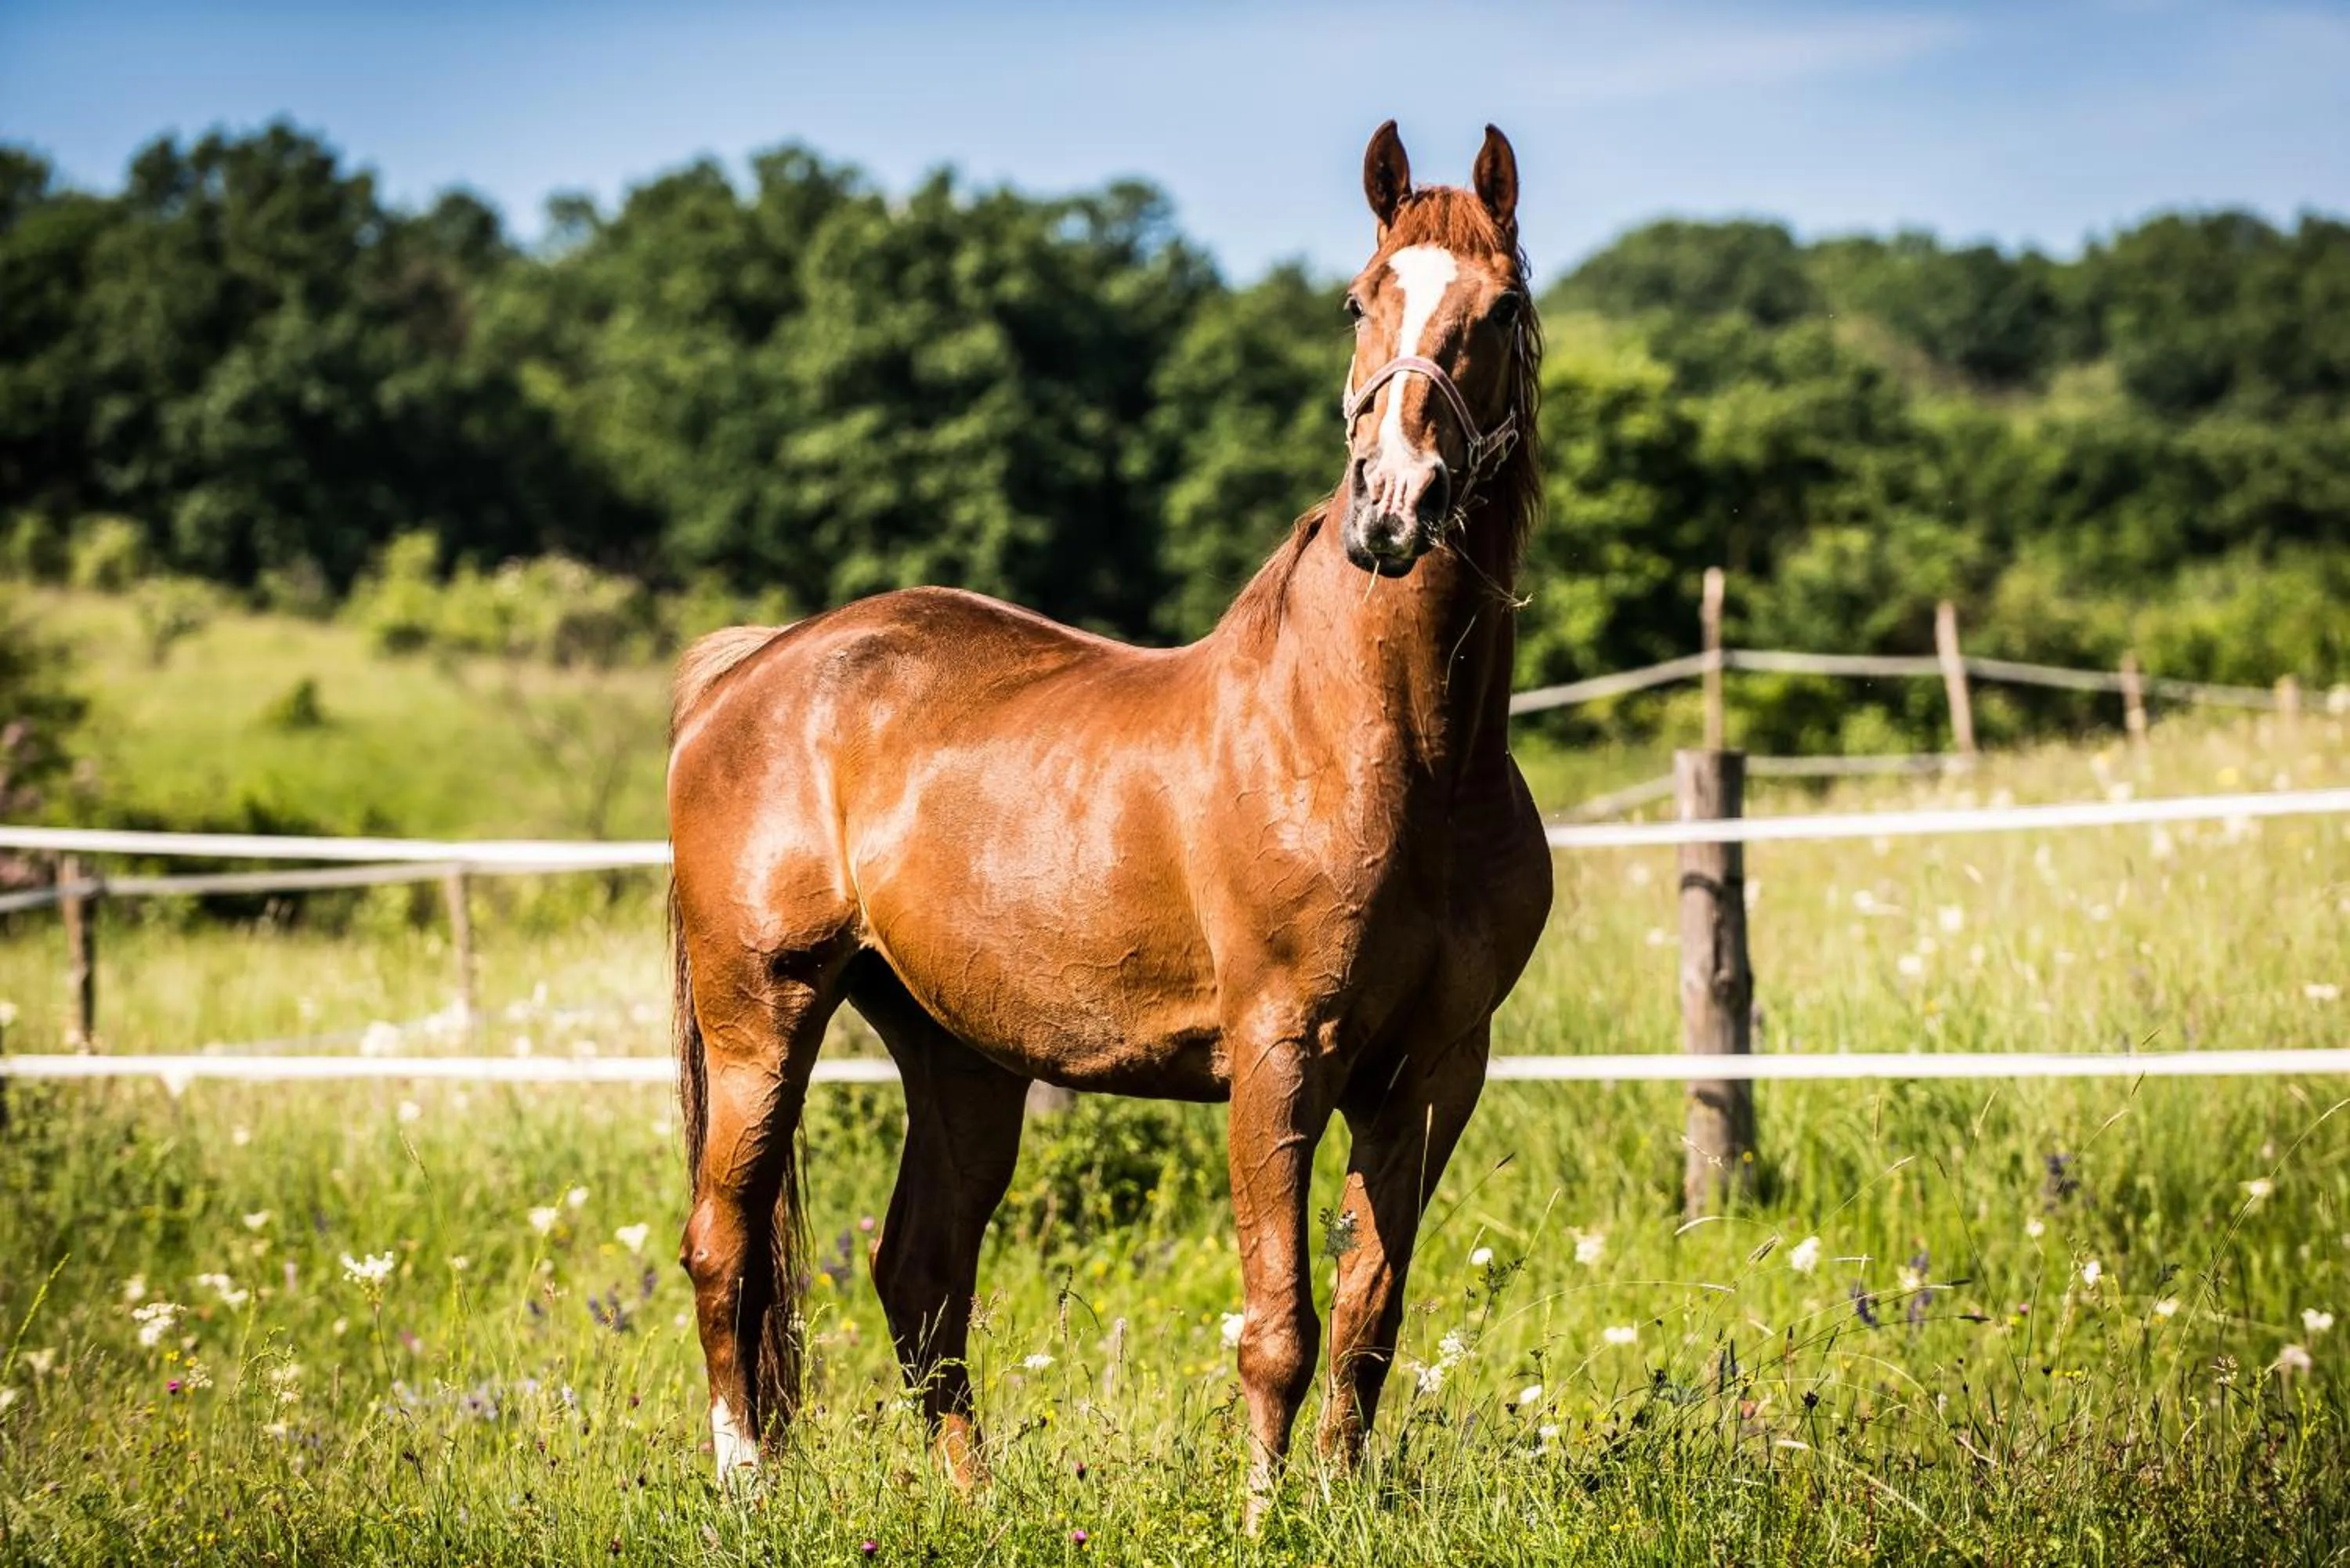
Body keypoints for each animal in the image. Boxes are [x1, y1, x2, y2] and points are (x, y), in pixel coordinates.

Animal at [666, 120, 1551, 1522]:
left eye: (1501, 308)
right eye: (1360, 300)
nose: (1390, 506)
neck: (1395, 755)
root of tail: (748, 671)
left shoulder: (1432, 1073)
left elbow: (1370, 1315)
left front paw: (1335, 1503)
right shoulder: (1281, 1051)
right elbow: (1281, 1322)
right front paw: (1262, 1519)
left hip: (959, 1054)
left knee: (920, 1273)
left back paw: (975, 1502)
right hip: (762, 1013)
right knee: (726, 1248)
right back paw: (747, 1481)